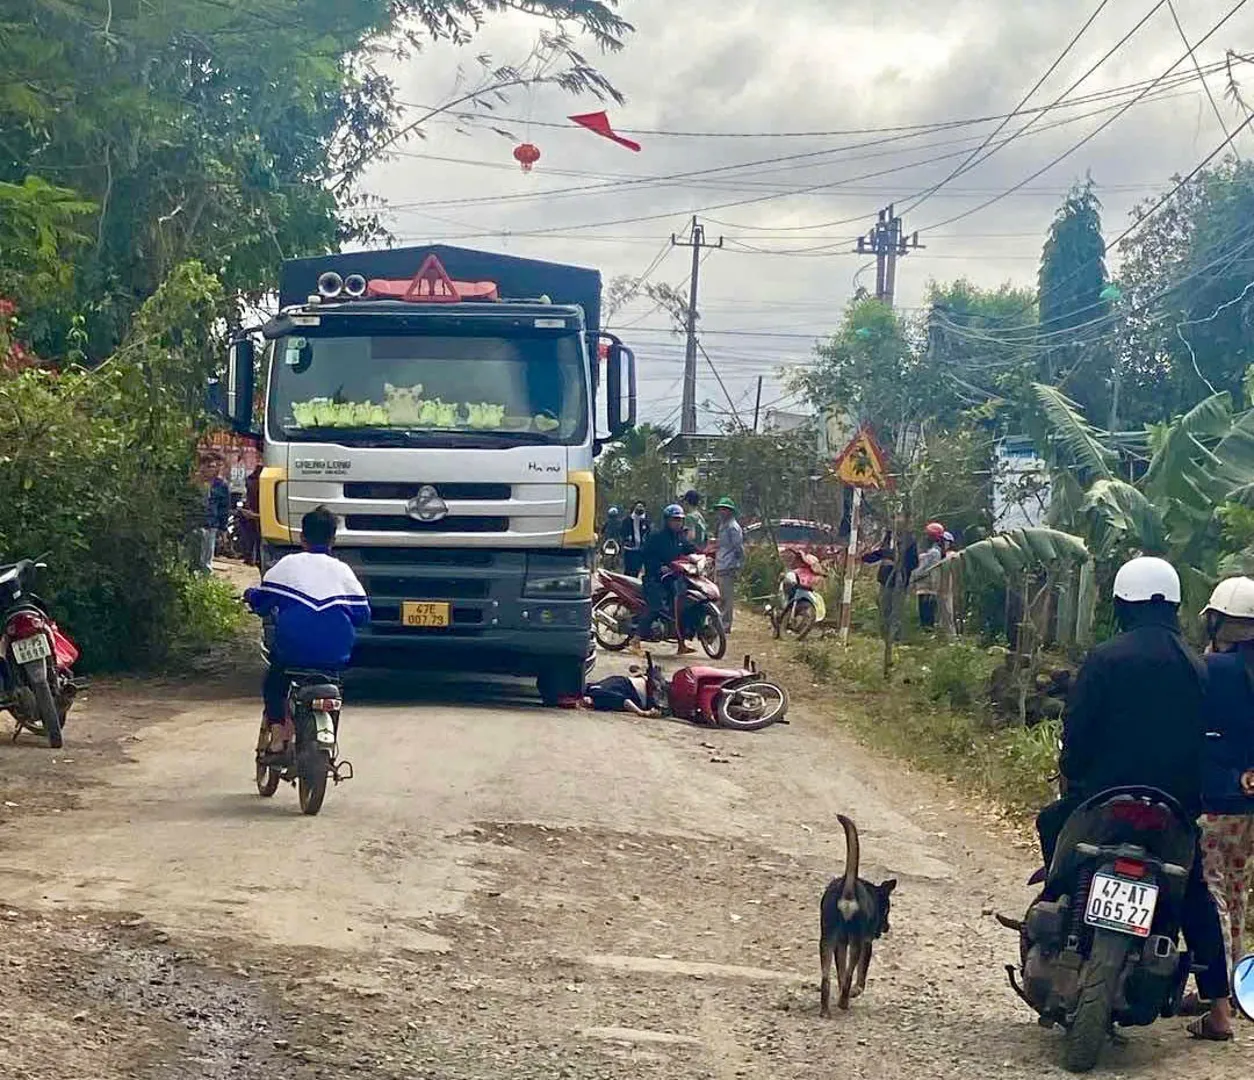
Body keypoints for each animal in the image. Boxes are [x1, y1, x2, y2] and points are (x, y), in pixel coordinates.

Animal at [817, 812, 897, 1013]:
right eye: (886, 910)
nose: (887, 927)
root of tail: (848, 886)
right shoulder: (866, 942)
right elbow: (860, 973)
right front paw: (855, 991)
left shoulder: (840, 943)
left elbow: (840, 971)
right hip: (856, 942)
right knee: (849, 975)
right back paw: (844, 1002)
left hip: (827, 938)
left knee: (826, 977)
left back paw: (826, 1009)